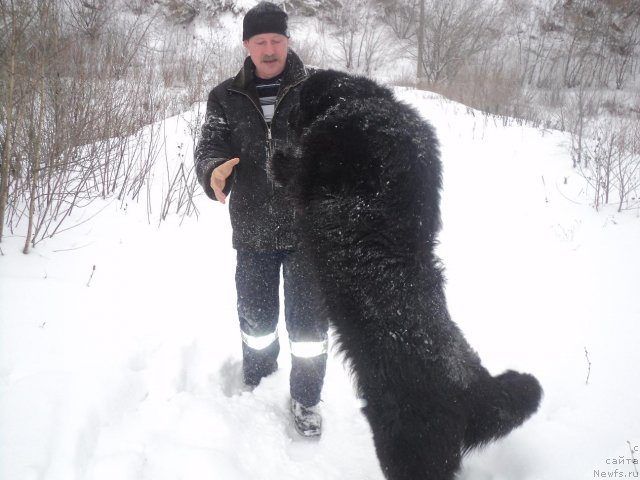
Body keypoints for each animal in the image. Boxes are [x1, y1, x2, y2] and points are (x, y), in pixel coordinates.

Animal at [268, 69, 540, 478]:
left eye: (300, 98)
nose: (295, 80)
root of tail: (473, 394)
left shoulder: (314, 173)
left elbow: (291, 171)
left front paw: (276, 156)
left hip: (406, 449)